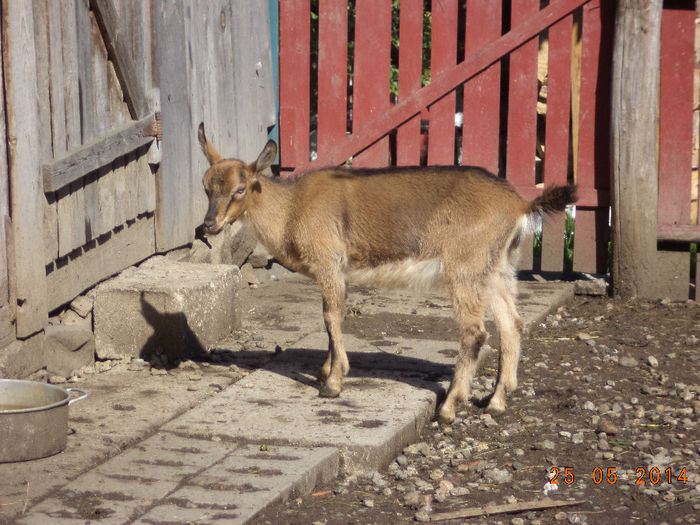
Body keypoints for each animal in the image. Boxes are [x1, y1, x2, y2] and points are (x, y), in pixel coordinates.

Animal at [200, 124, 576, 422]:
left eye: (240, 189)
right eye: (206, 186)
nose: (208, 225)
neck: (292, 208)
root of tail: (520, 205)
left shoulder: (328, 261)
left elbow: (330, 316)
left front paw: (333, 383)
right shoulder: (338, 270)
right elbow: (332, 317)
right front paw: (326, 370)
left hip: (465, 265)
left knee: (475, 331)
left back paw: (449, 408)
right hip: (498, 267)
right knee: (512, 324)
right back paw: (496, 402)